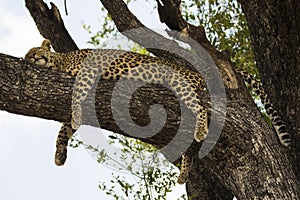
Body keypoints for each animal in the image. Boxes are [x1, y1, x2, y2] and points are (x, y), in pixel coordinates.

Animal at [24, 39, 290, 185]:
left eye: (35, 50)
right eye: (27, 56)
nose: (32, 58)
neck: (60, 61)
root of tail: (192, 69)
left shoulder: (86, 73)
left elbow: (76, 99)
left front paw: (75, 116)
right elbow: (63, 130)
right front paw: (59, 155)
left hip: (179, 83)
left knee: (200, 107)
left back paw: (201, 131)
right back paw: (184, 173)